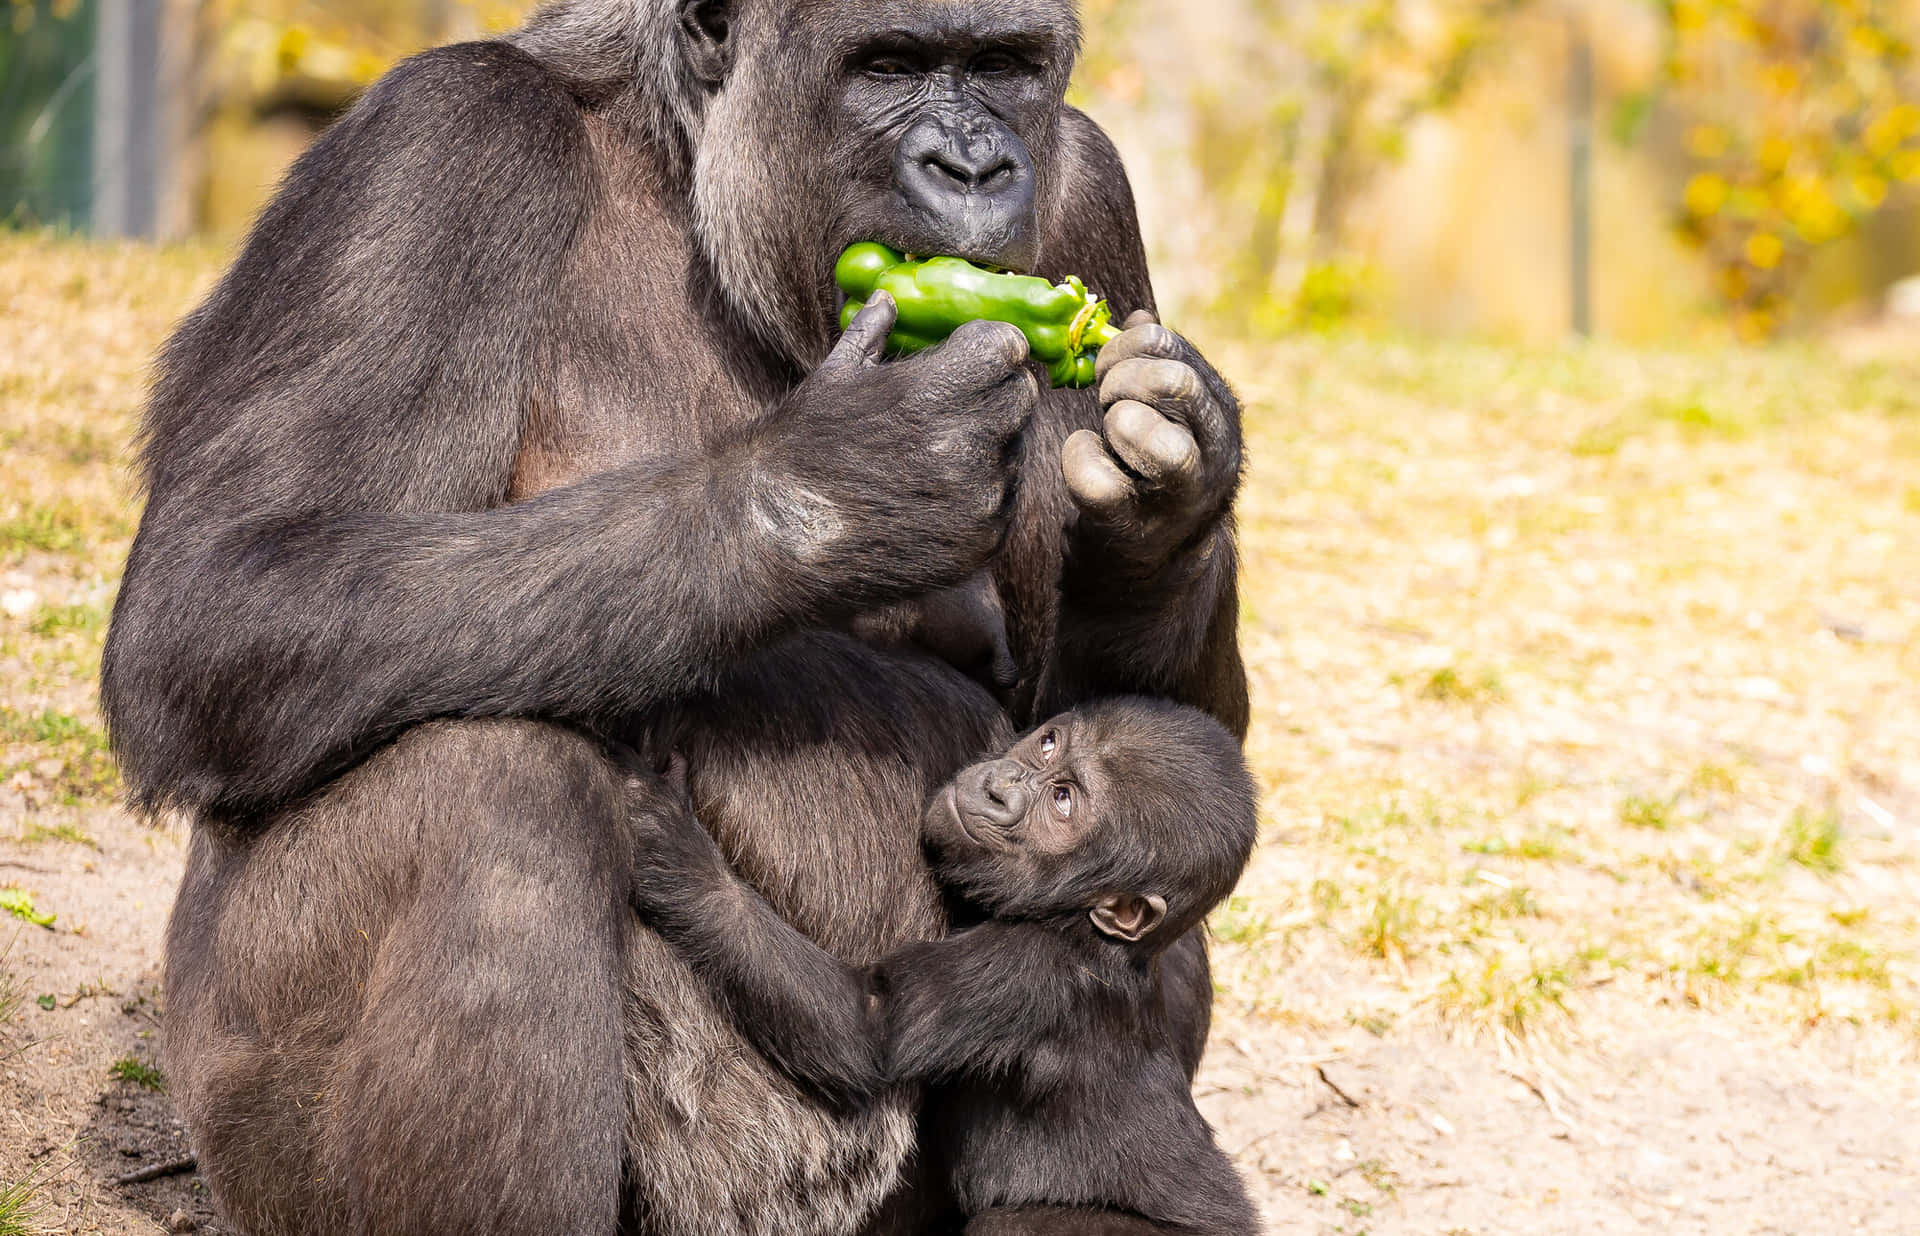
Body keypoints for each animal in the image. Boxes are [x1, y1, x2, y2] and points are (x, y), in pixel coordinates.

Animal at [622, 698, 1267, 1228]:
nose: (1002, 784)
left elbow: (869, 1027)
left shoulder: (1028, 968)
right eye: (1048, 743)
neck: (1086, 931)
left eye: (1062, 802)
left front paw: (681, 857)